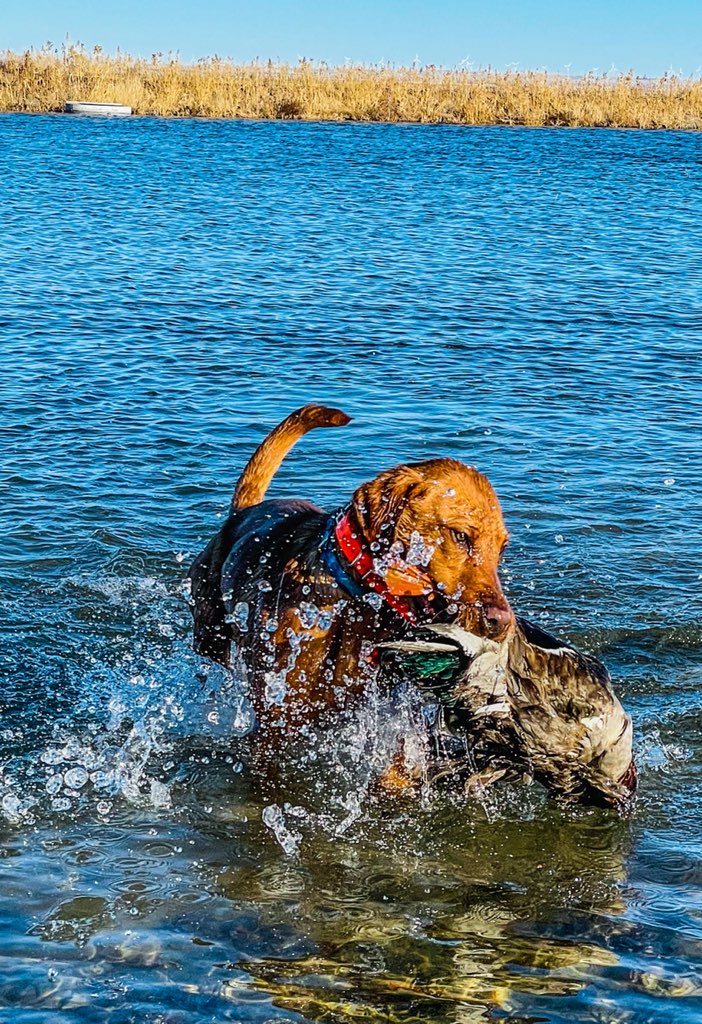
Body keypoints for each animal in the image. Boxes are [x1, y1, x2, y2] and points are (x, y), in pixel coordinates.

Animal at [188, 405, 511, 737]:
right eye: (460, 536)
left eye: (502, 548)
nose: (502, 623)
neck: (356, 607)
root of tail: (242, 511)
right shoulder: (274, 722)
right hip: (209, 639)